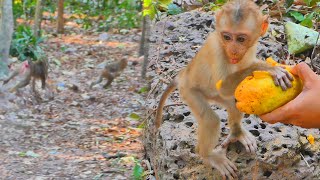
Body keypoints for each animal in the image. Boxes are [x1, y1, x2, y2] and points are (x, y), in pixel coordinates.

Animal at [155, 0, 292, 179]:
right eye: (227, 37)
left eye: (240, 39)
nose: (232, 50)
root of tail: (183, 74)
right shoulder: (217, 50)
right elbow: (224, 87)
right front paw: (269, 68)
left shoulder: (250, 48)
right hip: (189, 92)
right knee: (210, 119)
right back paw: (208, 155)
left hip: (210, 95)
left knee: (233, 102)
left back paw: (236, 133)